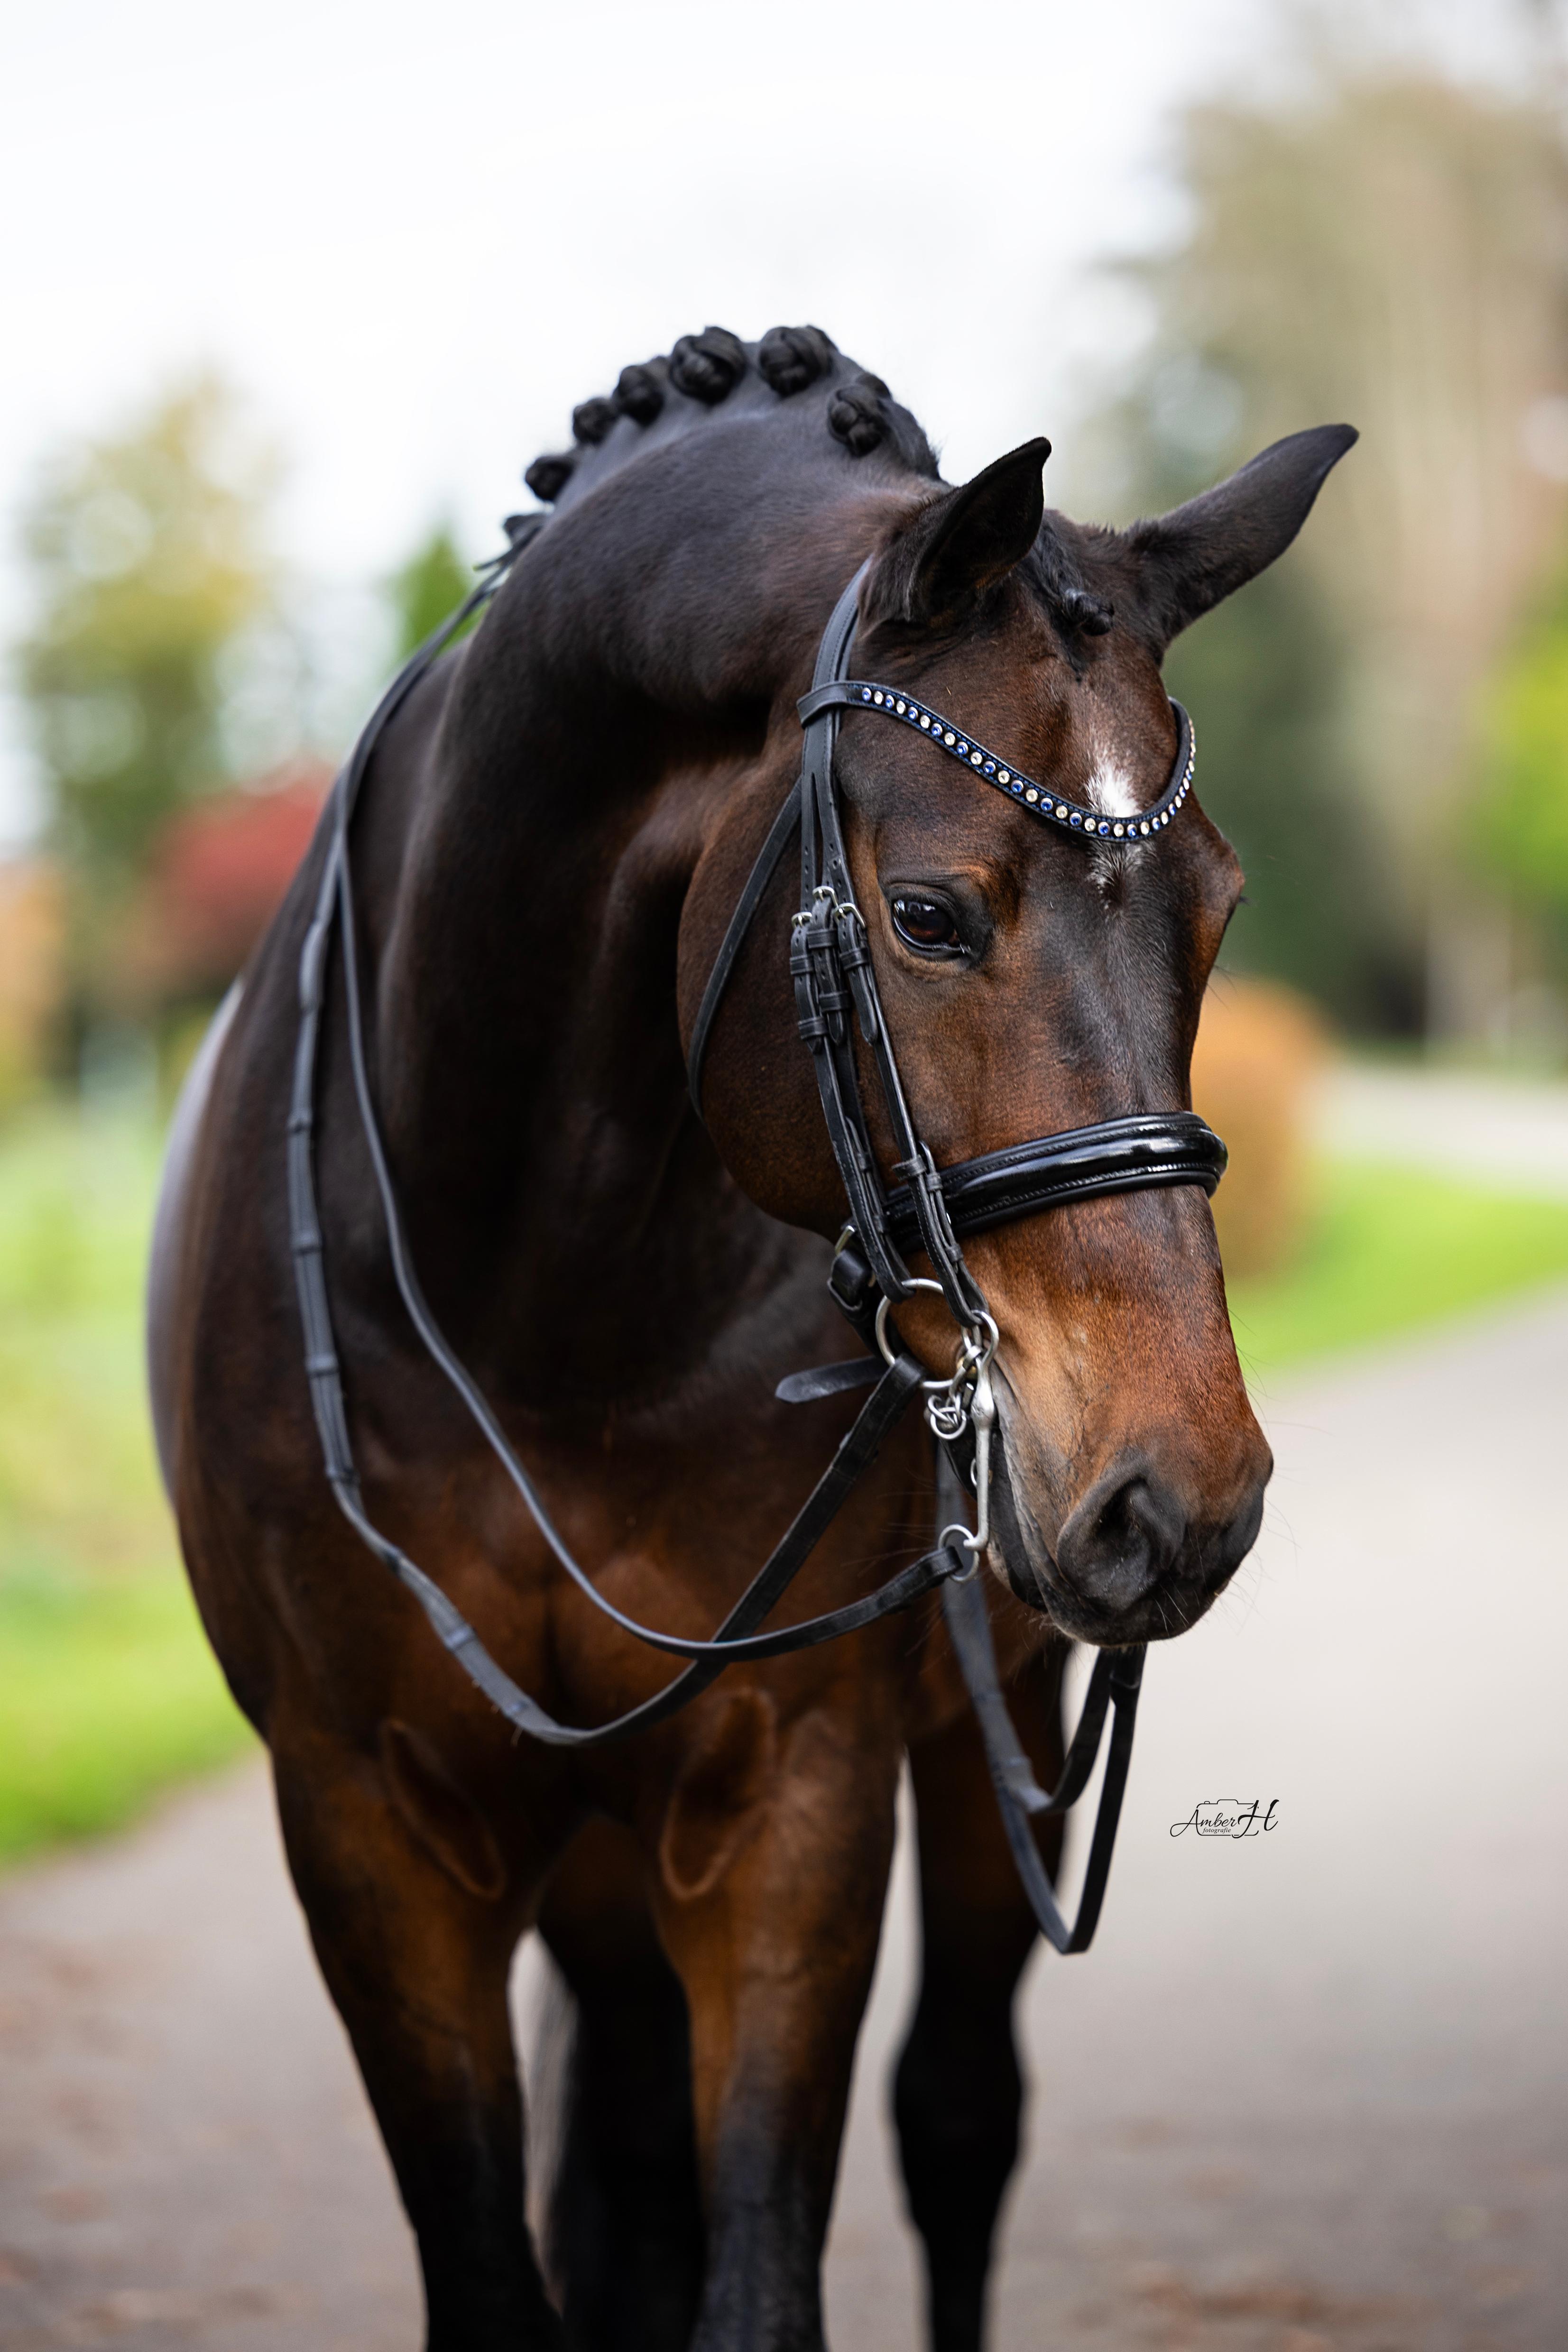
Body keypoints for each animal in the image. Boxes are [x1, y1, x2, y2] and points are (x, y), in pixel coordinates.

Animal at [147, 321, 1352, 2352]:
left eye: (1218, 910)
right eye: (928, 911)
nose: (1182, 1492)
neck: (528, 1299)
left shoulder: (793, 1793)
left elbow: (763, 2266)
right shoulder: (368, 1827)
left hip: (991, 1716)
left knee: (956, 2118)